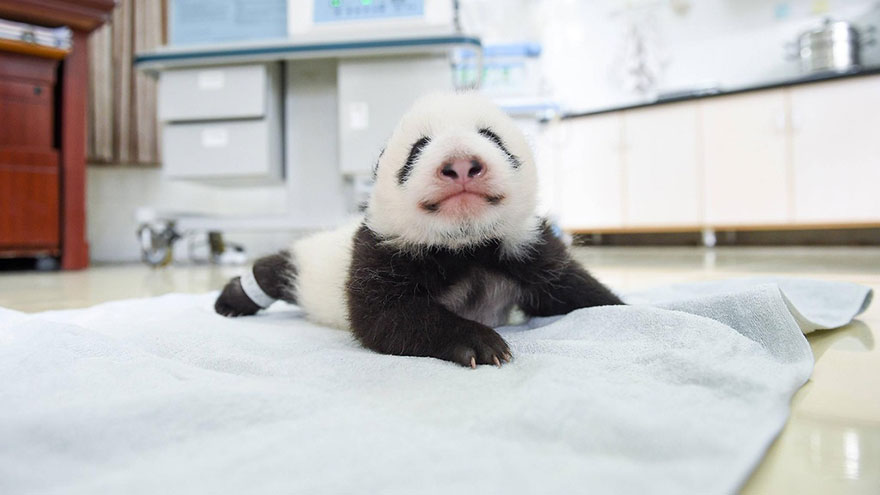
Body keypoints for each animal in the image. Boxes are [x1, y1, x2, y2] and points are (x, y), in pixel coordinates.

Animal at [215, 92, 623, 368]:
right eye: (417, 148)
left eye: (492, 138)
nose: (461, 164)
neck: (466, 244)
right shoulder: (380, 249)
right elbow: (385, 315)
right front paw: (480, 343)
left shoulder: (524, 246)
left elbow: (573, 287)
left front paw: (625, 309)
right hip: (307, 262)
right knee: (274, 269)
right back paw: (233, 299)